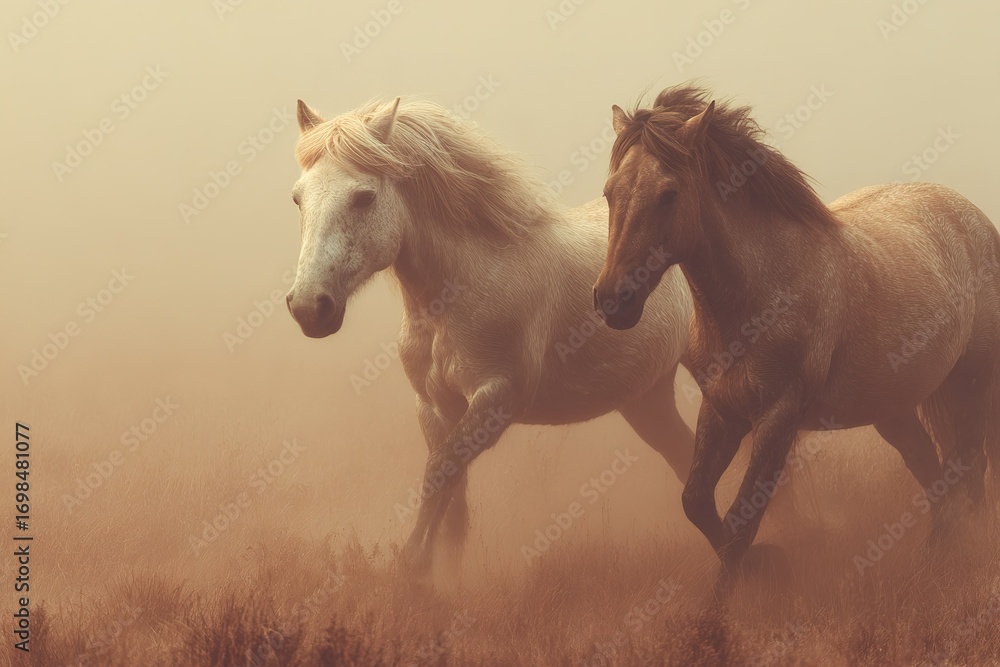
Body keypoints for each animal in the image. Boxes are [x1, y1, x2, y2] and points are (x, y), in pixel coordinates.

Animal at [284, 96, 697, 578]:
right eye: (297, 198)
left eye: (364, 197)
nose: (309, 307)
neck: (458, 293)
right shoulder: (435, 407)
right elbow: (453, 501)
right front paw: (442, 575)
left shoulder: (497, 399)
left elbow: (440, 472)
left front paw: (413, 569)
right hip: (646, 398)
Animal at [594, 84, 1000, 598]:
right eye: (610, 193)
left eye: (669, 194)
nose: (612, 300)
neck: (760, 292)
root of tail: (972, 217)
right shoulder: (723, 410)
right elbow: (697, 502)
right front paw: (765, 569)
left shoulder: (778, 418)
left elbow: (742, 520)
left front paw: (731, 606)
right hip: (893, 408)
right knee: (934, 471)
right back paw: (935, 556)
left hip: (971, 382)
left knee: (969, 466)